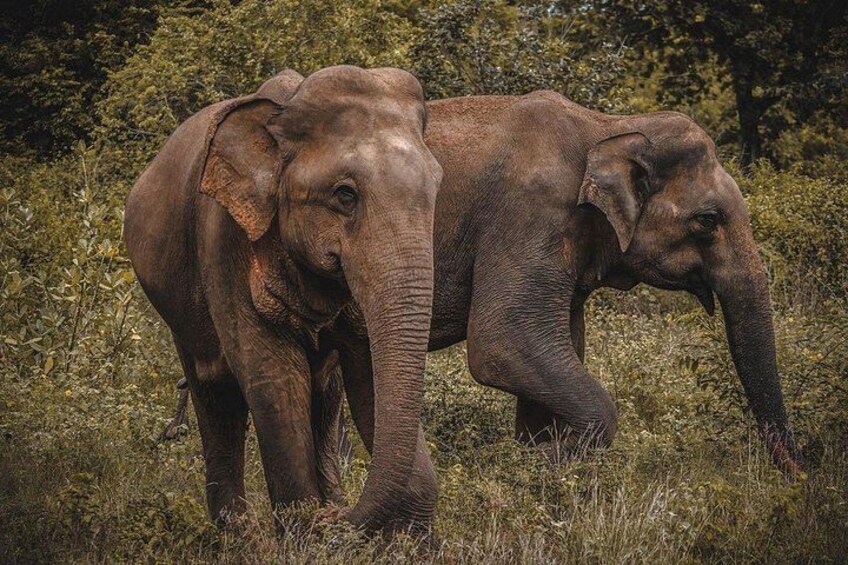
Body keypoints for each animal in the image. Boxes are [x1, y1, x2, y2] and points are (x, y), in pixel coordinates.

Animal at [124, 65, 443, 534]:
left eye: (436, 189)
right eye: (345, 195)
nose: (334, 517)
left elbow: (367, 374)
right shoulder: (223, 239)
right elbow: (271, 376)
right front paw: (305, 528)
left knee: (325, 396)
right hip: (178, 309)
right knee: (215, 396)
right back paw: (238, 536)